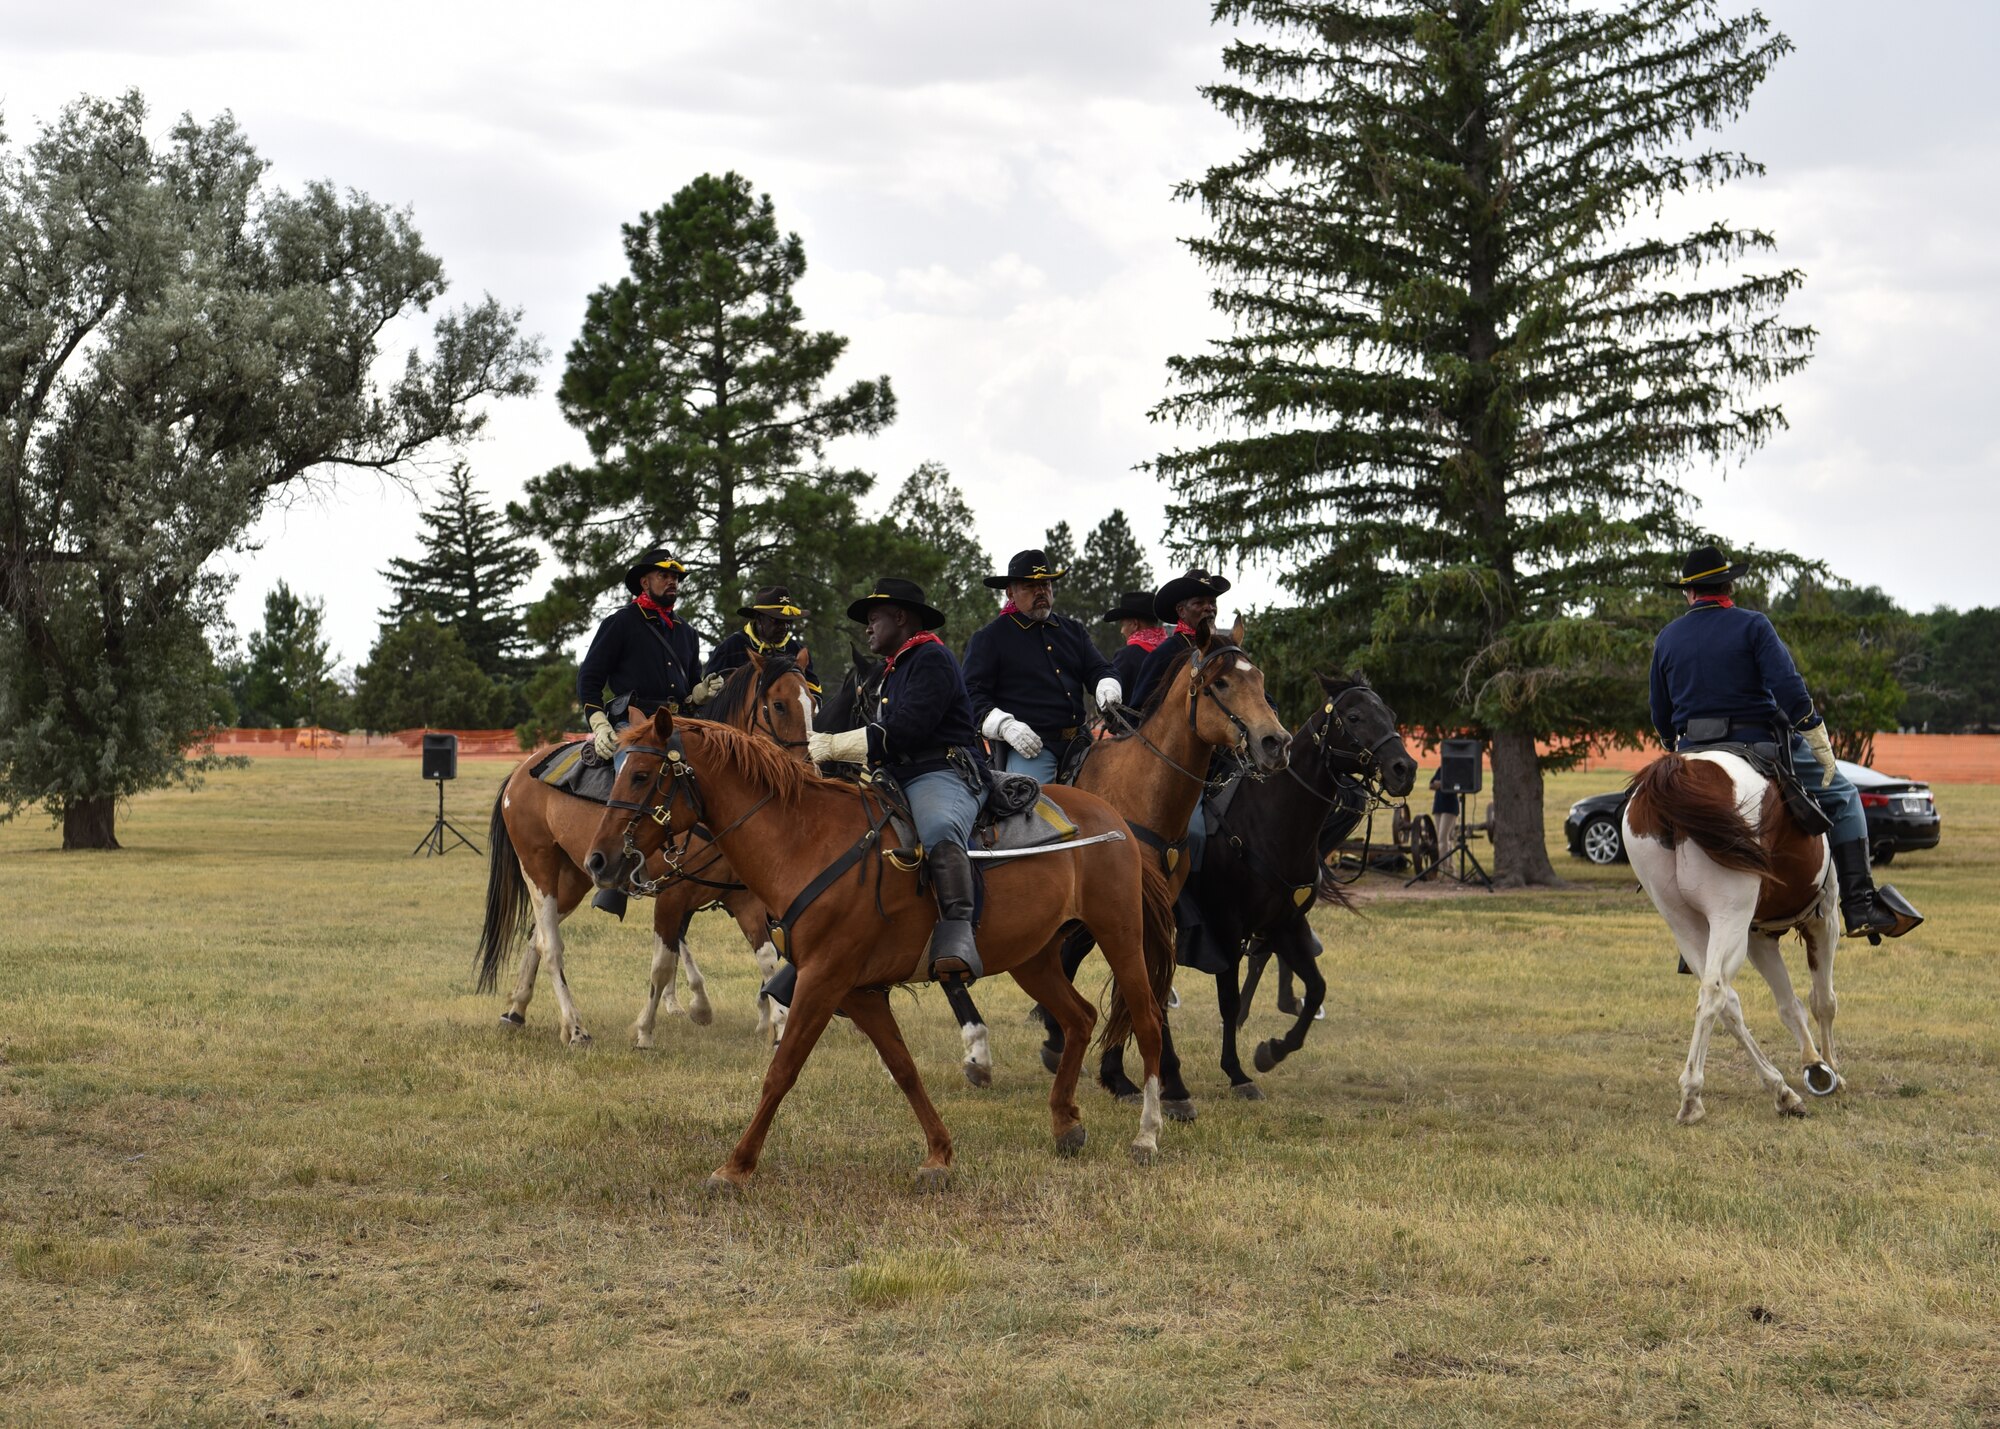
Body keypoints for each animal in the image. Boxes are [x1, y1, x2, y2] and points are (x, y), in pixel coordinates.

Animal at [472, 652, 816, 1040]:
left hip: (574, 877)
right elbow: (665, 961)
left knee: (536, 936)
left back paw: (517, 1008)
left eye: (812, 702)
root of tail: (521, 771)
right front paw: (669, 1018)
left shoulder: (744, 900)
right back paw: (574, 1026)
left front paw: (780, 1024)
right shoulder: (672, 894)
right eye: (779, 704)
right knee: (550, 944)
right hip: (539, 867)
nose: (805, 773)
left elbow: (768, 959)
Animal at [580, 708, 1176, 1184]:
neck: (805, 841)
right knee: (1079, 1018)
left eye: (640, 774)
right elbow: (903, 1068)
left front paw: (736, 1165)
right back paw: (1065, 1123)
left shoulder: (823, 981)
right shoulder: (859, 992)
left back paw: (1147, 1133)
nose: (598, 861)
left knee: (1146, 1020)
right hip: (1033, 957)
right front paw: (939, 1153)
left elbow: (782, 1071)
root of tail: (1115, 819)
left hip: (1119, 935)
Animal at [1184, 672, 1424, 1096]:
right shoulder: (1226, 929)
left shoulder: (1286, 924)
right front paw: (1236, 1072)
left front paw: (1272, 1050)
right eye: (1355, 717)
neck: (1269, 823)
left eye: (1391, 714)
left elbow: (1315, 988)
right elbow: (1229, 1000)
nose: (1404, 769)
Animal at [1624, 744, 1840, 1120]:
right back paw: (1692, 1094)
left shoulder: (1758, 936)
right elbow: (1823, 1000)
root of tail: (1677, 768)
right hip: (1729, 913)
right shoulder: (1824, 919)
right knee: (1714, 990)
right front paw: (1827, 1068)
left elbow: (1789, 1004)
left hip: (1684, 920)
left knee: (1727, 999)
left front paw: (1814, 1064)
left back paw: (1780, 1090)